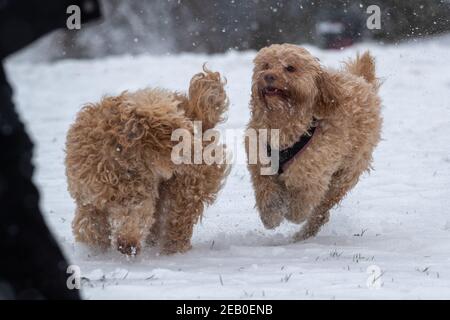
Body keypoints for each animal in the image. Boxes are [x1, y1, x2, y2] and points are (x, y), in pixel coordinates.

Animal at [66, 67, 229, 255]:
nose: (197, 149)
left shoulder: (138, 195)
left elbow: (136, 215)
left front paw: (127, 242)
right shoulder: (88, 198)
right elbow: (89, 225)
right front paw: (96, 249)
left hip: (188, 187)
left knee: (179, 218)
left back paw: (172, 248)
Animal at [248, 43, 382, 241]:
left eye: (290, 68)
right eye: (265, 65)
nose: (268, 76)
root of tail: (361, 80)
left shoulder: (314, 173)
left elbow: (303, 198)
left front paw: (293, 213)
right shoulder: (260, 161)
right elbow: (265, 189)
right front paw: (271, 215)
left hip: (345, 175)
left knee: (321, 210)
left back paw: (305, 233)